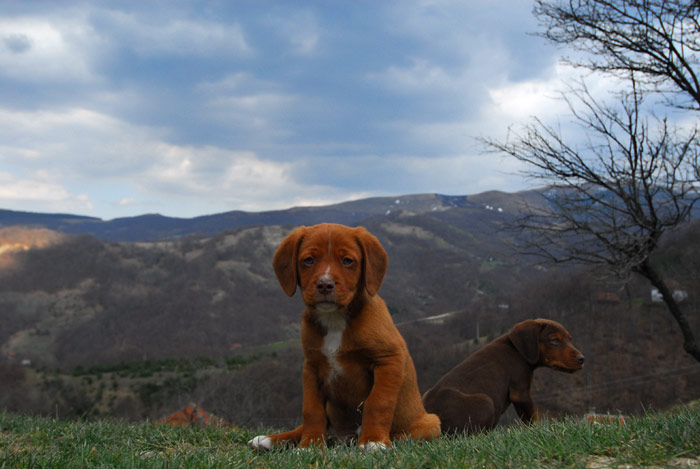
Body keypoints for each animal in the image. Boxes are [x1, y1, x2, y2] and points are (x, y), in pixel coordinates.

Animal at [249, 223, 440, 450]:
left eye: (348, 261)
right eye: (309, 260)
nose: (325, 284)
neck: (335, 320)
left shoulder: (388, 359)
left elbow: (378, 402)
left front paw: (374, 440)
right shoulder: (311, 367)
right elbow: (311, 410)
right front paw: (310, 445)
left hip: (432, 423)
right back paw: (269, 440)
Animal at [424, 316, 584, 434]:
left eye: (570, 339)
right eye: (554, 340)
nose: (582, 359)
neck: (518, 351)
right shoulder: (520, 392)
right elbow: (533, 418)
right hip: (485, 401)